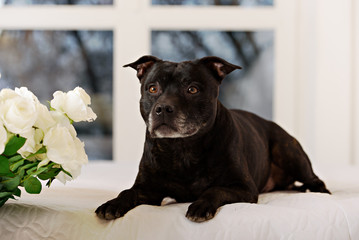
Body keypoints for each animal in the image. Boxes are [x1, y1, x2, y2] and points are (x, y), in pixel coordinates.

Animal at [96, 55, 332, 222]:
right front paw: (113, 204)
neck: (182, 147)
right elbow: (127, 192)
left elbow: (215, 189)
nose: (163, 108)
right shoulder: (148, 190)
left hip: (288, 151)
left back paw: (317, 190)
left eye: (192, 89)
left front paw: (201, 205)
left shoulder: (243, 188)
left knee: (314, 178)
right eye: (152, 88)